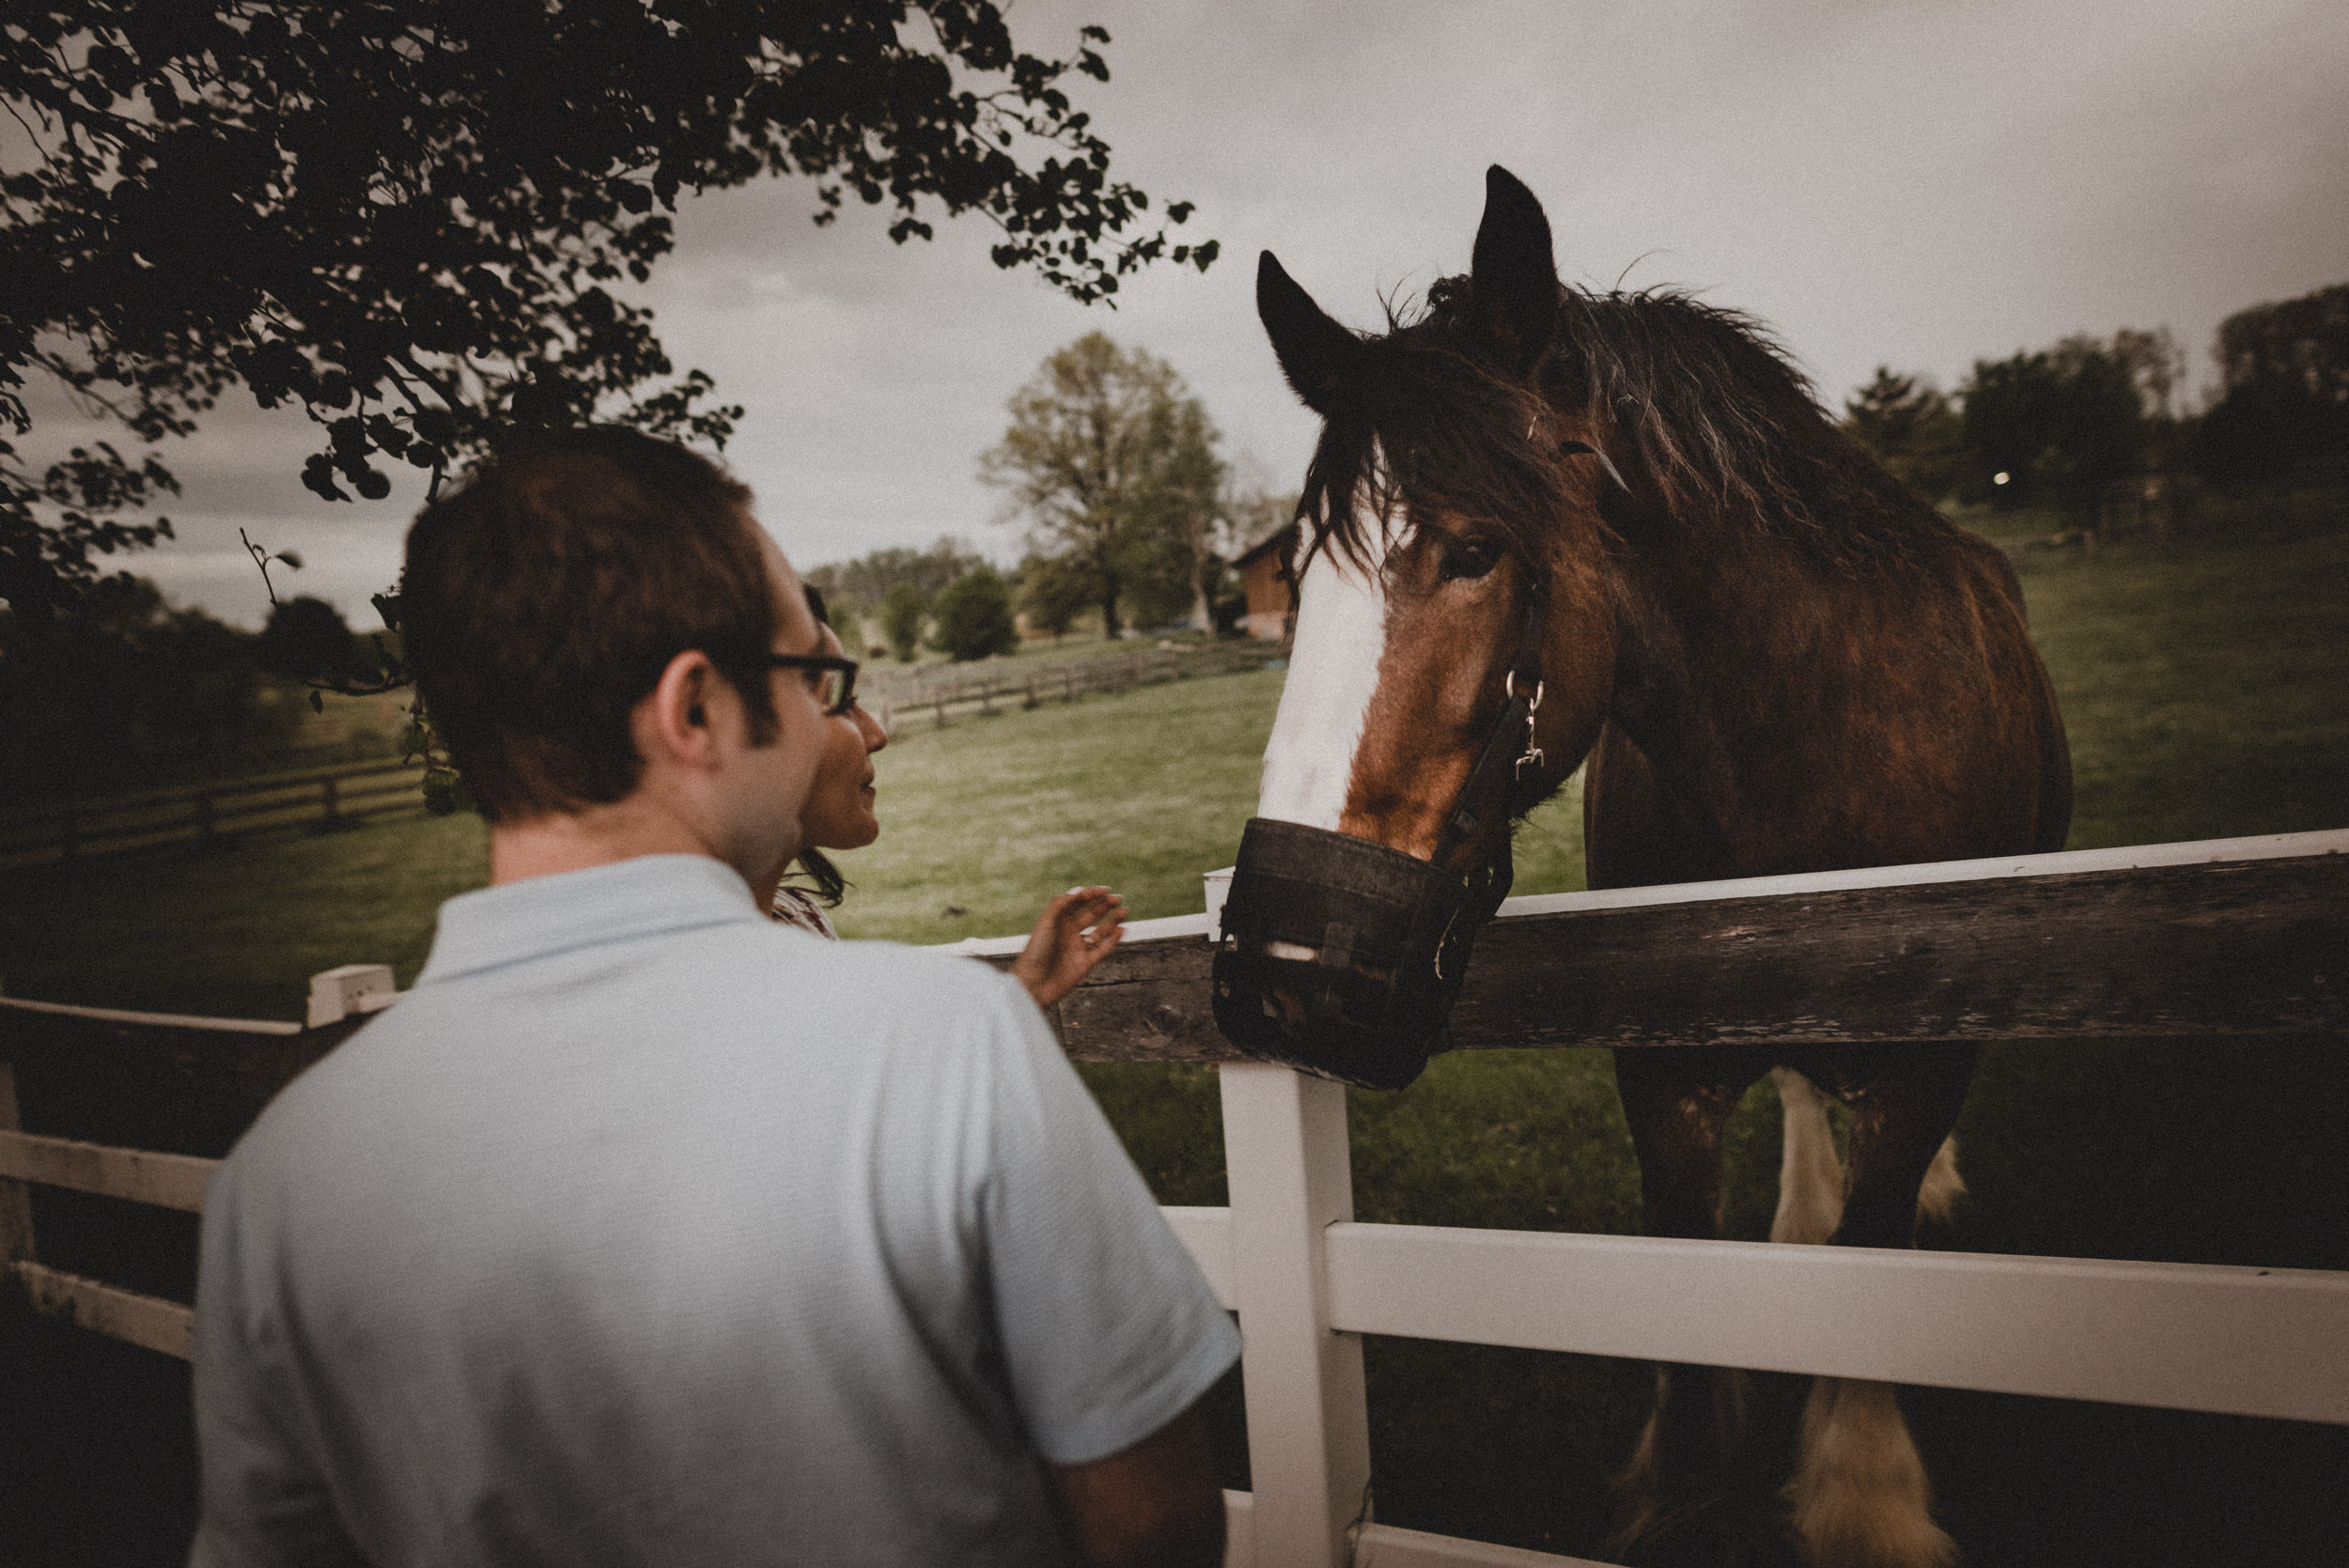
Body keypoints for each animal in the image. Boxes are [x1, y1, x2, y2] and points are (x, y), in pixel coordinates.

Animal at [1221, 171, 2067, 1568]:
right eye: (1297, 574)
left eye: (1473, 550)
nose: (1288, 957)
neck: (1809, 744)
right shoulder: (1664, 1078)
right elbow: (1687, 1344)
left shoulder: (1924, 1058)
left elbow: (1877, 1248)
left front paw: (1863, 1489)